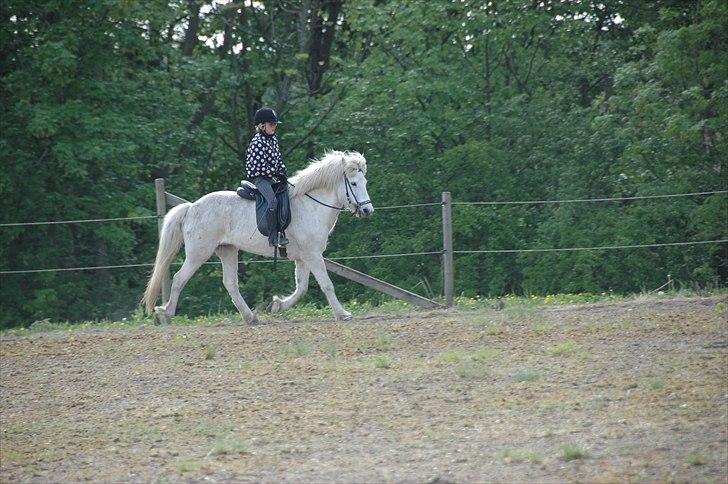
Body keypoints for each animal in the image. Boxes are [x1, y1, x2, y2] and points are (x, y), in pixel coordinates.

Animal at [141, 151, 376, 326]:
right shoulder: (313, 255)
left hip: (227, 250)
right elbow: (327, 285)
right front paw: (343, 314)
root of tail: (191, 208)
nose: (368, 211)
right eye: (354, 183)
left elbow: (302, 288)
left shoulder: (303, 257)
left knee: (230, 283)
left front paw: (278, 305)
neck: (311, 206)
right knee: (179, 279)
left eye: (364, 181)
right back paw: (165, 314)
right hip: (198, 254)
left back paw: (251, 317)